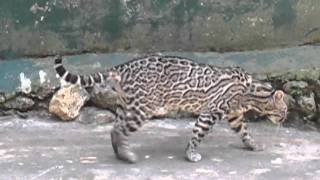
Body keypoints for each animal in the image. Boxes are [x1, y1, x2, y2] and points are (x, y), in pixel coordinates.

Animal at [54, 54, 288, 163]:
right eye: (284, 111)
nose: (285, 118)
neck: (252, 92)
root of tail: (123, 66)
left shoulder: (234, 116)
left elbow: (244, 132)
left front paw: (253, 145)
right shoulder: (210, 112)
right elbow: (197, 135)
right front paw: (191, 154)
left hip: (125, 105)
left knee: (114, 128)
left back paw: (119, 153)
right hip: (142, 108)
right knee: (120, 130)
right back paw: (127, 155)